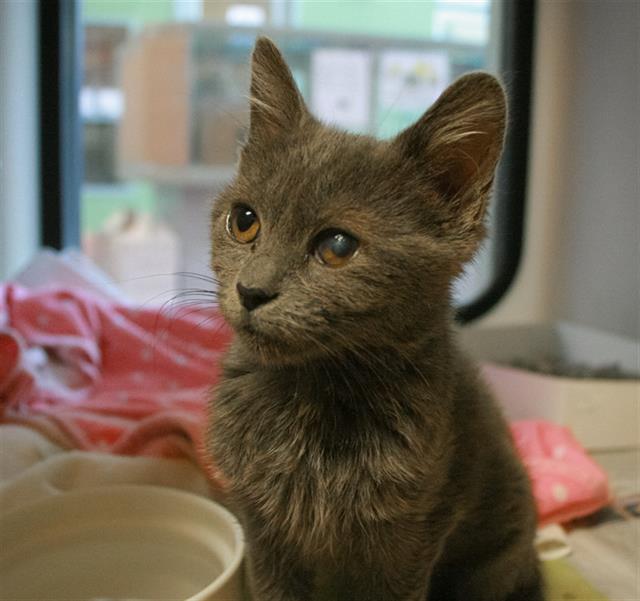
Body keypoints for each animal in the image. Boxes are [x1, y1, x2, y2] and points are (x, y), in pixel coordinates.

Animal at [206, 37, 544, 600]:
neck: (311, 396)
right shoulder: (264, 530)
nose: (251, 291)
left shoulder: (411, 537)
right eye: (245, 221)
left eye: (338, 246)